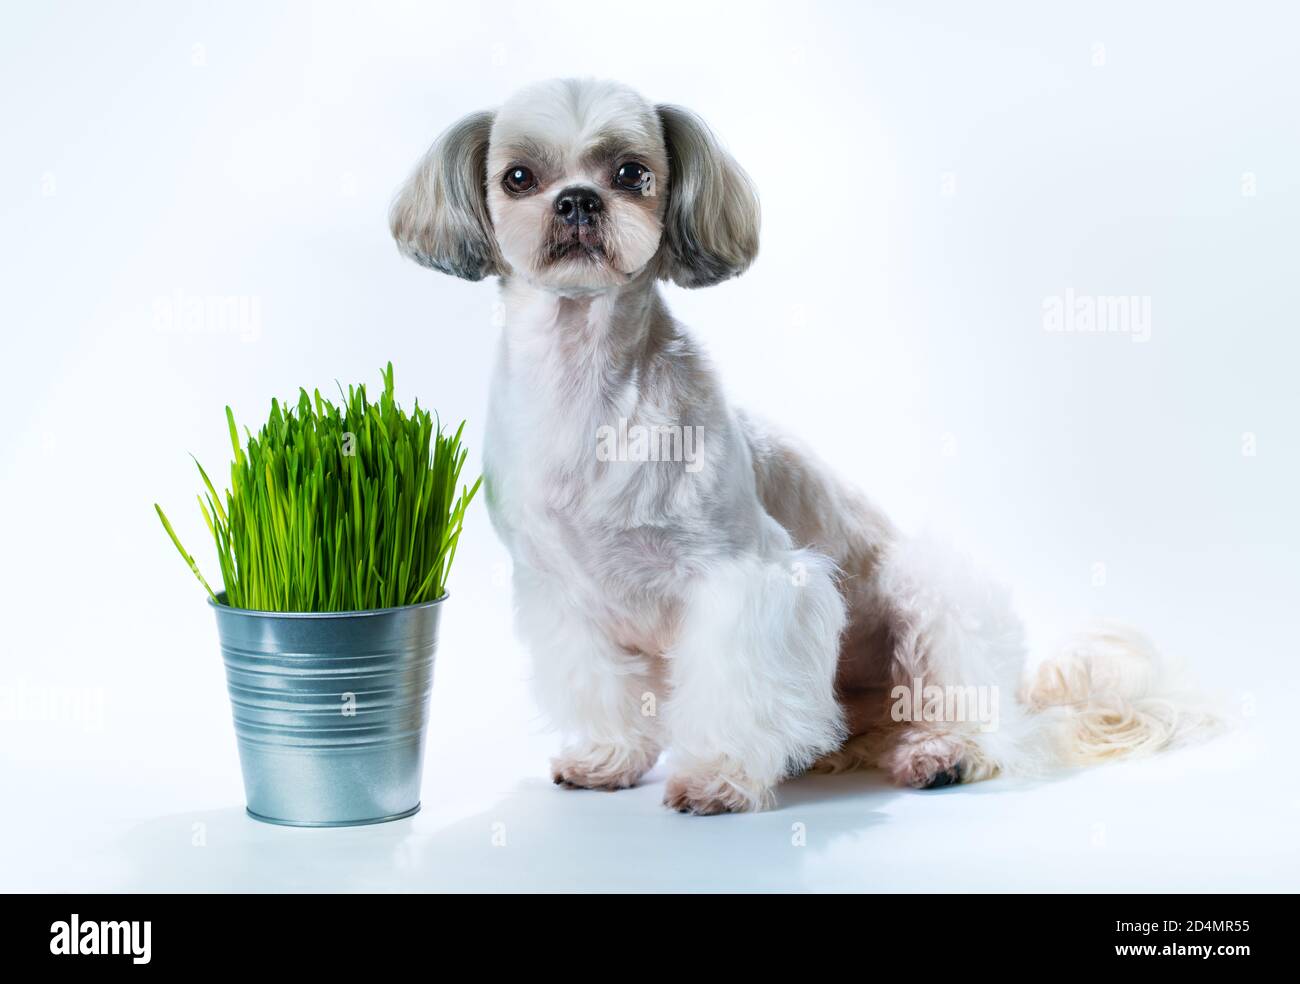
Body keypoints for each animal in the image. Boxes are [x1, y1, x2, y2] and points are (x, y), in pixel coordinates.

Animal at [384, 78, 1216, 816]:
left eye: (632, 173)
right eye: (519, 177)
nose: (579, 200)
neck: (588, 384)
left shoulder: (745, 577)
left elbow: (737, 682)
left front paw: (720, 777)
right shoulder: (565, 595)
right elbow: (601, 686)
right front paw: (608, 759)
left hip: (928, 591)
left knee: (977, 713)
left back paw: (942, 752)